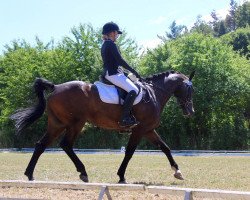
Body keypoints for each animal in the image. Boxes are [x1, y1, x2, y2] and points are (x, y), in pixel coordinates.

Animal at [10, 70, 195, 183]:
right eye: (190, 90)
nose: (191, 112)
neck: (153, 93)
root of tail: (55, 88)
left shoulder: (148, 130)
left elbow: (165, 147)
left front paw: (177, 172)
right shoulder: (139, 130)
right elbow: (129, 152)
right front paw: (121, 176)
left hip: (58, 124)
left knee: (42, 145)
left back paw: (30, 175)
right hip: (75, 123)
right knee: (66, 144)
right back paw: (83, 172)